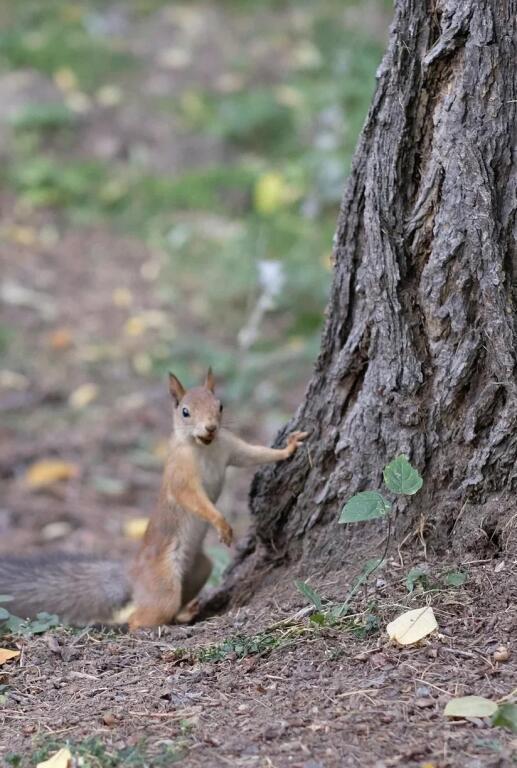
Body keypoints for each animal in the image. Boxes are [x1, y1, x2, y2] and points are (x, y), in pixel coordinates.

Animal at [0, 368, 306, 628]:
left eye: (220, 405)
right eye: (185, 412)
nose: (210, 428)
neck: (204, 448)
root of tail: (134, 575)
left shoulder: (231, 448)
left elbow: (255, 454)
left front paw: (289, 447)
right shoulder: (181, 474)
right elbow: (192, 498)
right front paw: (221, 523)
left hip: (199, 569)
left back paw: (185, 614)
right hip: (163, 585)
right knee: (143, 617)